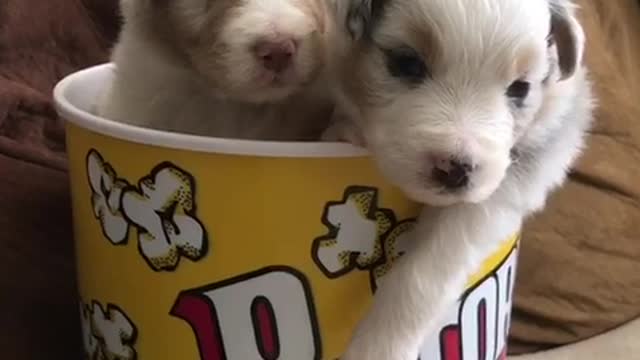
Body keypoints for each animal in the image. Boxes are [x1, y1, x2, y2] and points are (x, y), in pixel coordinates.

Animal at [324, 0, 596, 360]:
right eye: (407, 63)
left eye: (520, 88)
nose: (455, 169)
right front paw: (342, 130)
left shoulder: (505, 185)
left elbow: (425, 270)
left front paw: (377, 348)